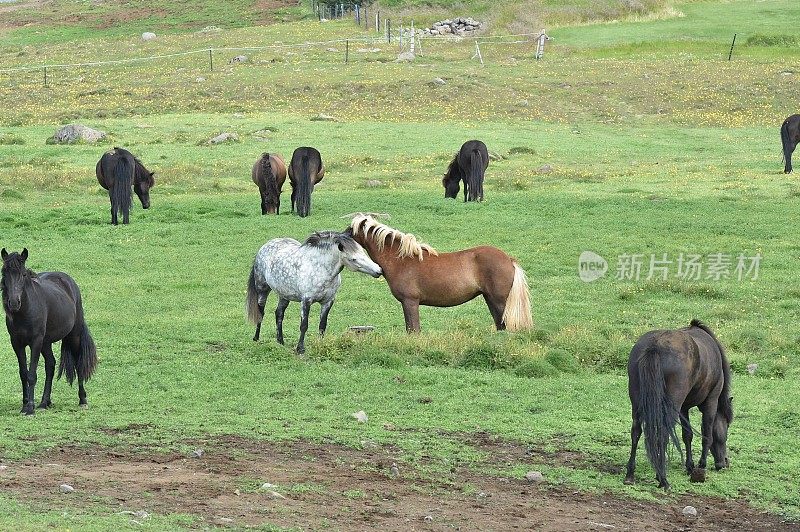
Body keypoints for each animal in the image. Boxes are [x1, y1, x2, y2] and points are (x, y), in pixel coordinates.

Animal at [1, 249, 99, 416]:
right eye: (4, 272)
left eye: (23, 274)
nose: (13, 303)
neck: (25, 311)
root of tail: (69, 282)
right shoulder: (17, 343)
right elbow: (23, 373)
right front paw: (25, 405)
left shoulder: (35, 341)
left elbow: (32, 375)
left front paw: (30, 409)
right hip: (46, 343)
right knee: (50, 365)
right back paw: (44, 402)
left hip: (73, 336)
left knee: (77, 363)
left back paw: (82, 400)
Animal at [244, 232, 382, 354]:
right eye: (353, 259)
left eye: (363, 252)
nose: (379, 271)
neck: (321, 269)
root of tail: (264, 247)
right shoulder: (306, 301)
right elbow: (304, 325)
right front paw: (300, 349)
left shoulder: (328, 302)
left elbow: (322, 325)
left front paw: (321, 344)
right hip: (262, 290)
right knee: (261, 313)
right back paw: (256, 338)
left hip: (284, 295)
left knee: (279, 314)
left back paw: (280, 341)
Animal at [344, 213, 532, 332]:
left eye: (351, 229)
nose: (340, 236)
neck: (401, 260)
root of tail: (509, 259)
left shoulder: (410, 302)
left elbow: (413, 330)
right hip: (490, 299)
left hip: (500, 301)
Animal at [624, 320, 732, 490]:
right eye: (727, 426)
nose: (724, 463)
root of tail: (656, 345)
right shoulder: (711, 402)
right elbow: (707, 435)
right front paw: (701, 466)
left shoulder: (684, 407)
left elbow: (687, 435)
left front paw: (690, 466)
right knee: (663, 435)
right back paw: (663, 479)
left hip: (637, 403)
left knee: (636, 432)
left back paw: (630, 475)